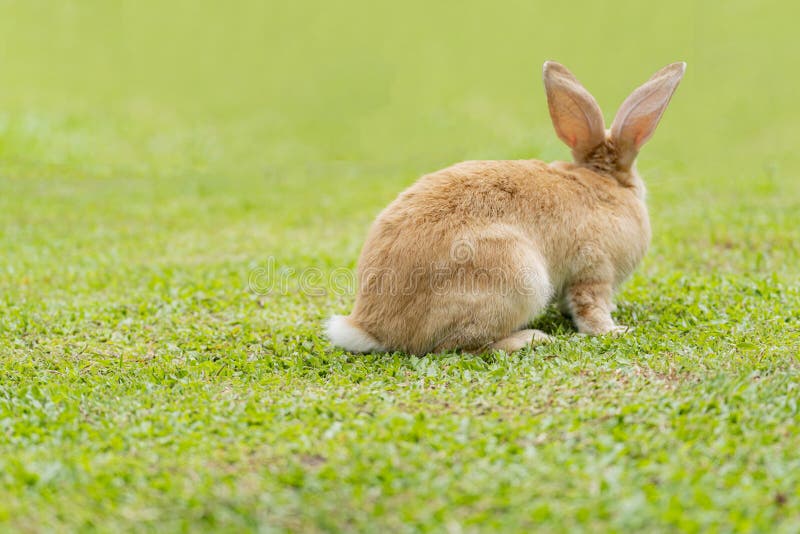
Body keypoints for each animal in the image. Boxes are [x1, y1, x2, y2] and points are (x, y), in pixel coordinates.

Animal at [327, 60, 685, 355]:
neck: (603, 181)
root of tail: (370, 327)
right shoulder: (594, 270)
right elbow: (590, 310)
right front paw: (615, 330)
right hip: (517, 278)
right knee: (459, 347)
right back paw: (531, 339)